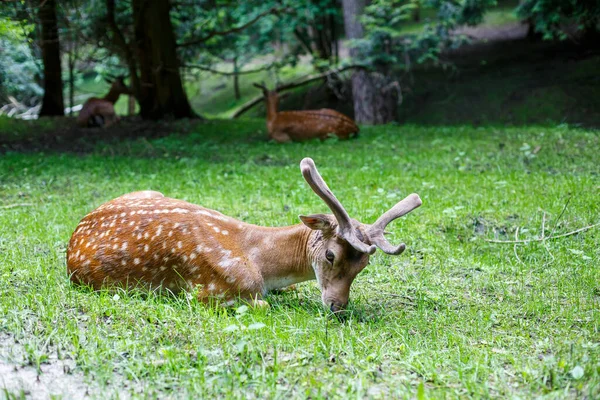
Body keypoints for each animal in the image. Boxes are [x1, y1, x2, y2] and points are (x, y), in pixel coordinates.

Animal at [67, 158, 422, 310]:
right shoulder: (210, 289)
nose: (338, 305)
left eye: (363, 266)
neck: (264, 265)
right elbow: (262, 305)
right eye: (331, 254)